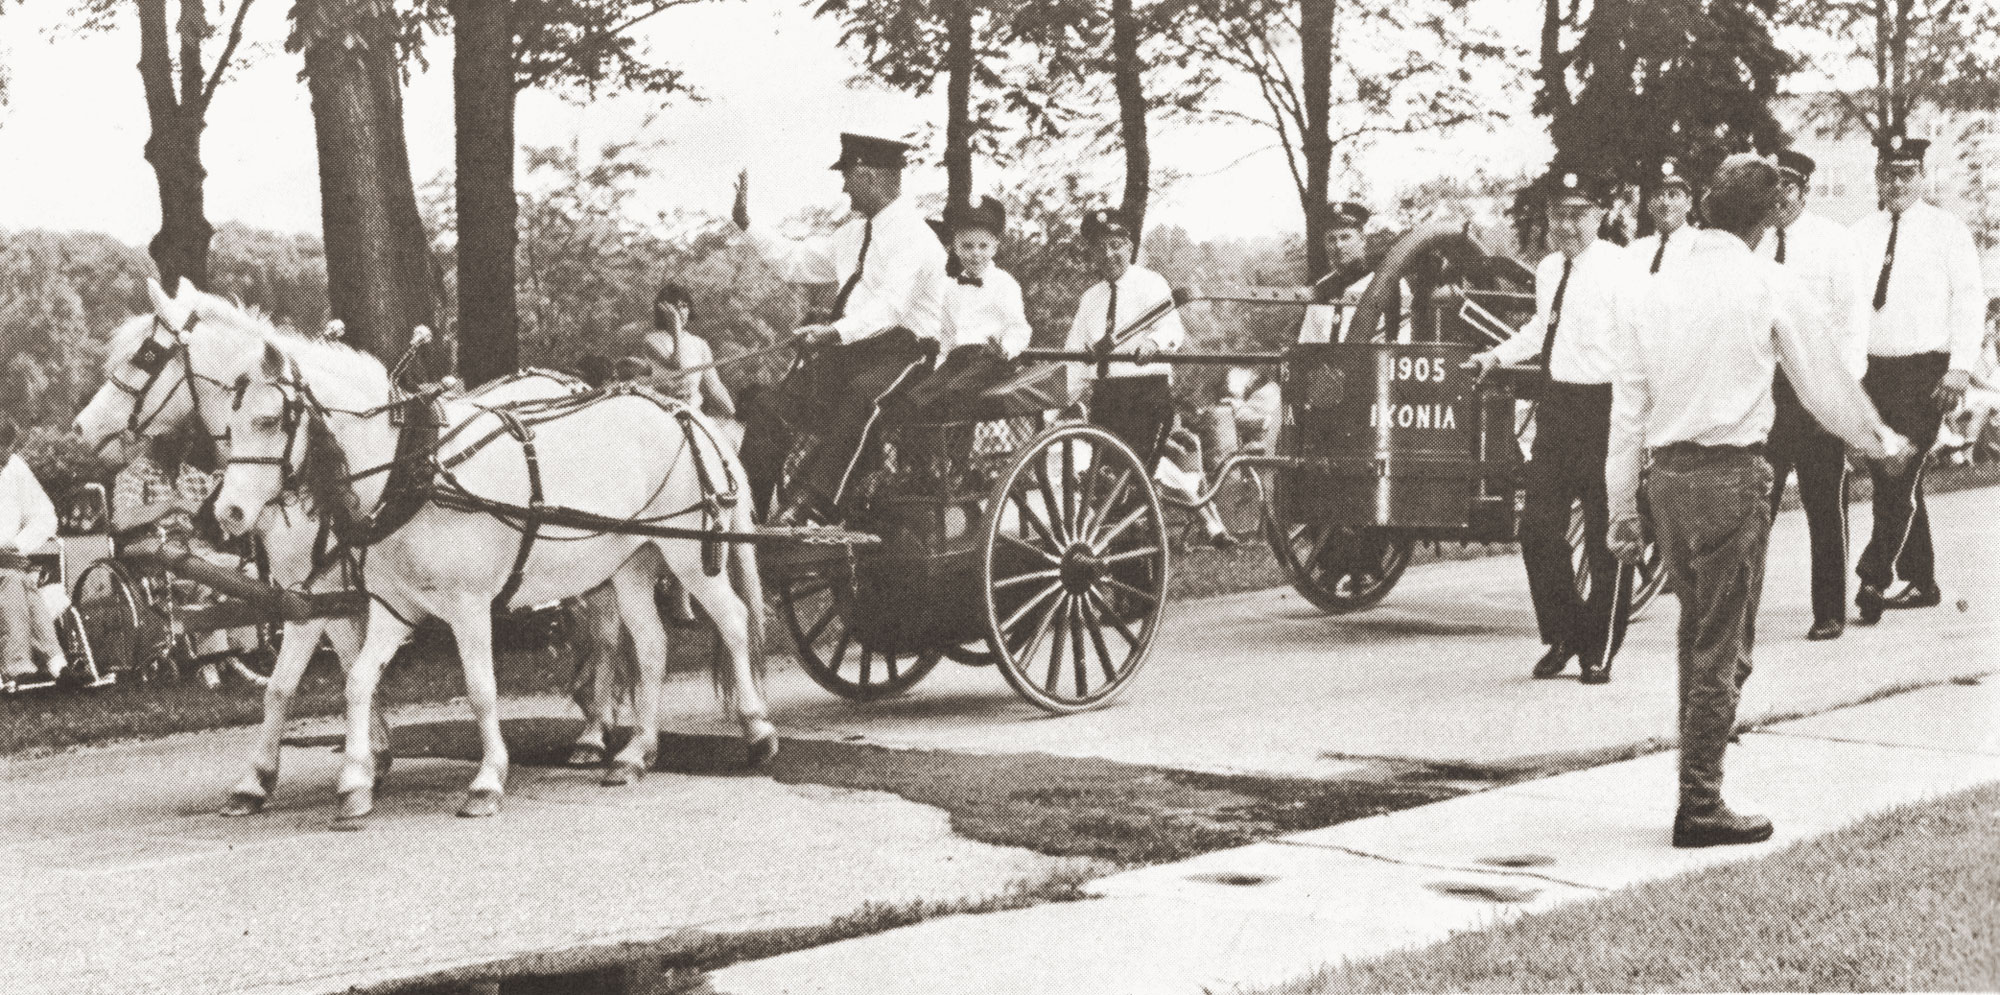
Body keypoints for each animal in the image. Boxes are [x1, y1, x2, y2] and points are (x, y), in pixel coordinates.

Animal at [76, 281, 624, 815]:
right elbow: (308, 680)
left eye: (146, 354)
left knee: (605, 635)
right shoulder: (315, 595)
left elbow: (335, 674)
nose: (81, 428)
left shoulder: (326, 592)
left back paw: (596, 735)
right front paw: (310, 770)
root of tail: (570, 383)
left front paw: (359, 763)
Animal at [211, 315, 772, 819]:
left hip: (689, 555)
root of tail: (683, 412)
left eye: (269, 421)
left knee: (733, 620)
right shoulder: (390, 606)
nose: (227, 513)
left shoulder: (467, 604)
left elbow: (481, 690)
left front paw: (485, 781)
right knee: (651, 644)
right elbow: (350, 680)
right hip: (632, 558)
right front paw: (351, 781)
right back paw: (635, 754)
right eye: (226, 428)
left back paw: (757, 731)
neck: (413, 470)